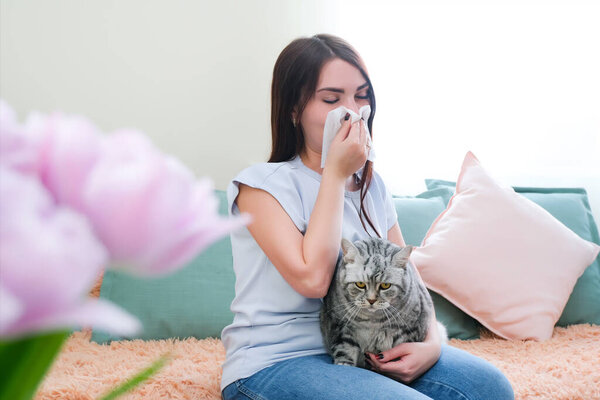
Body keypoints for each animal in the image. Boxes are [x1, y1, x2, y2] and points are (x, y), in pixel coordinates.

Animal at [322, 236, 448, 368]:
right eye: (360, 284)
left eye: (385, 285)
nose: (371, 300)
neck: (371, 322)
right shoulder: (340, 326)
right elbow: (344, 349)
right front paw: (344, 364)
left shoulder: (409, 331)